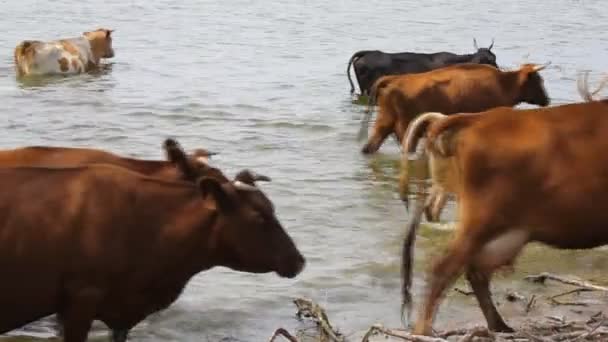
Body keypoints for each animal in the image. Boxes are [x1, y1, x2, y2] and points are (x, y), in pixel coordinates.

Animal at [356, 61, 552, 154]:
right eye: (539, 80)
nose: (547, 99)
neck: (504, 84)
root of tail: (393, 79)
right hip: (405, 128)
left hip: (384, 122)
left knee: (369, 147)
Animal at [396, 98, 608, 334]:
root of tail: (475, 118)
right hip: (481, 222)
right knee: (443, 268)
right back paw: (423, 331)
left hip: (509, 233)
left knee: (475, 271)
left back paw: (500, 325)